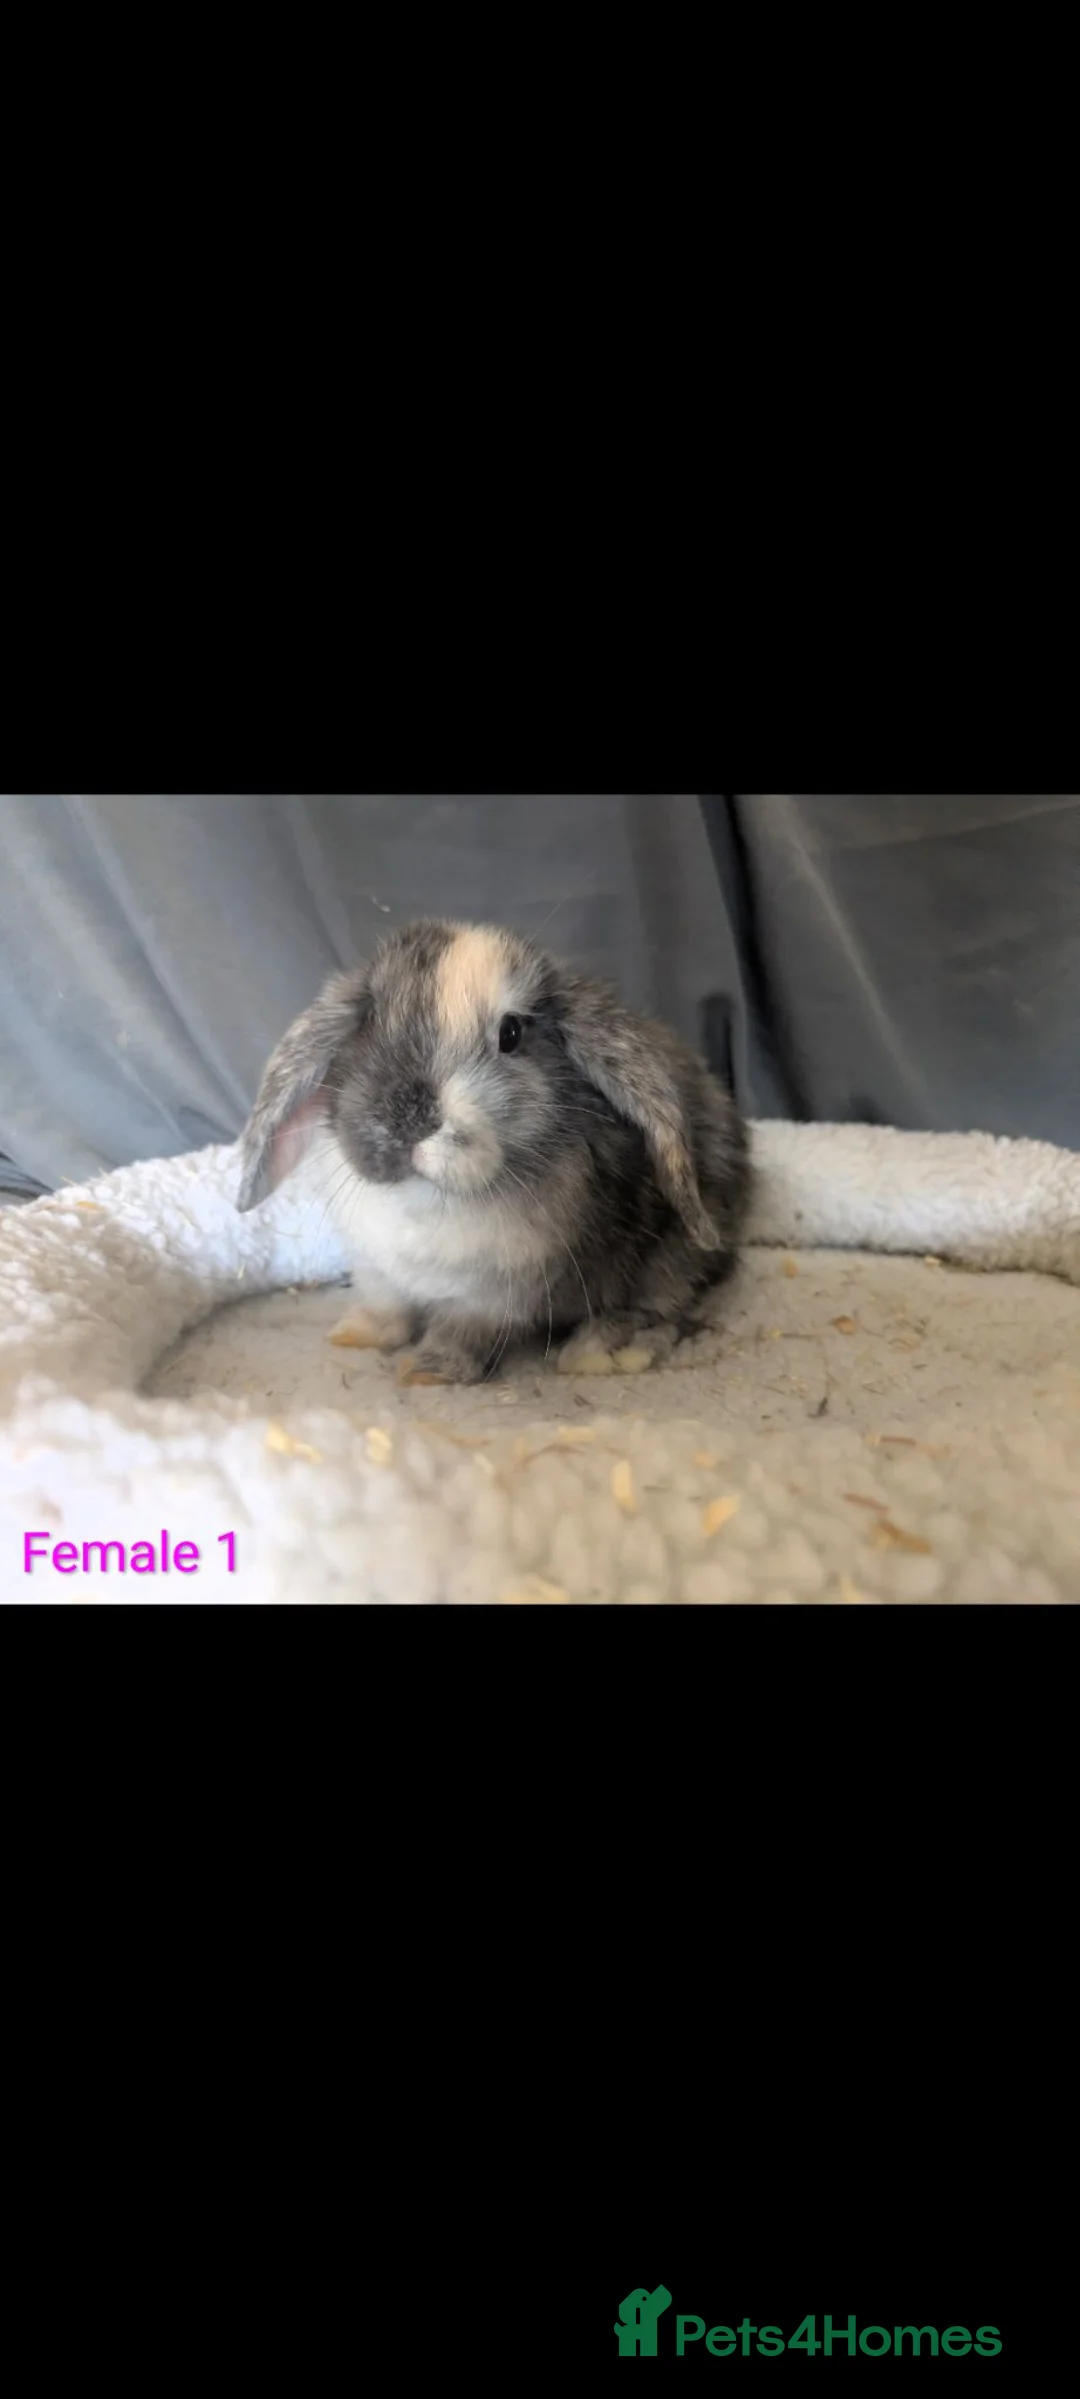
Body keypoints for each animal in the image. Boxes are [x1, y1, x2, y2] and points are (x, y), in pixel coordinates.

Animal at [236, 919, 751, 1386]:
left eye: (511, 1034)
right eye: (370, 1018)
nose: (408, 1120)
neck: (423, 1200)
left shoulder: (492, 1299)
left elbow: (460, 1334)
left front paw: (425, 1372)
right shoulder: (377, 1270)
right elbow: (387, 1308)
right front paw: (354, 1334)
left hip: (670, 1261)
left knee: (659, 1311)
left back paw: (596, 1354)